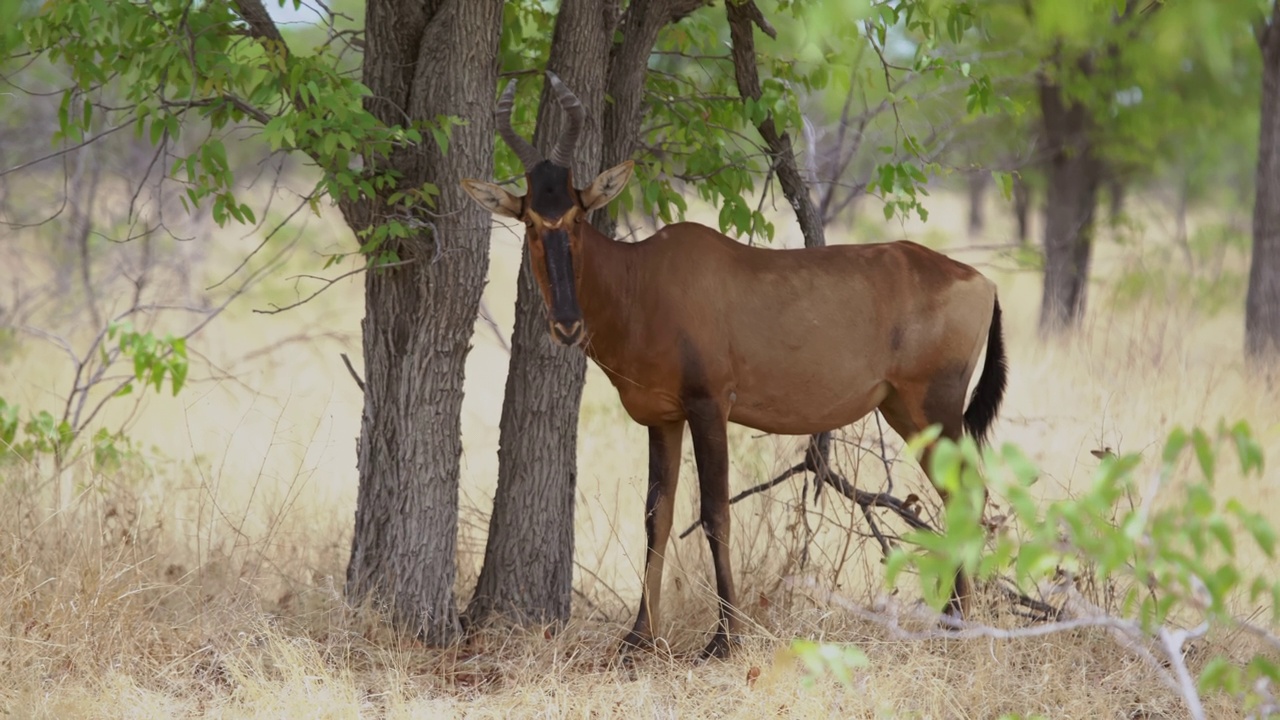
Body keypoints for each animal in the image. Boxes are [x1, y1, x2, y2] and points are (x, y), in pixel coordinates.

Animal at [463, 71, 1008, 655]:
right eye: (530, 221)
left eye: (575, 214)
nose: (566, 325)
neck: (645, 277)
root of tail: (982, 282)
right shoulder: (663, 418)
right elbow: (657, 516)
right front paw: (637, 640)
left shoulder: (709, 407)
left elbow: (714, 513)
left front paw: (723, 641)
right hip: (904, 412)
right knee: (957, 496)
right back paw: (952, 622)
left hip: (936, 407)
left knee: (969, 494)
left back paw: (959, 625)